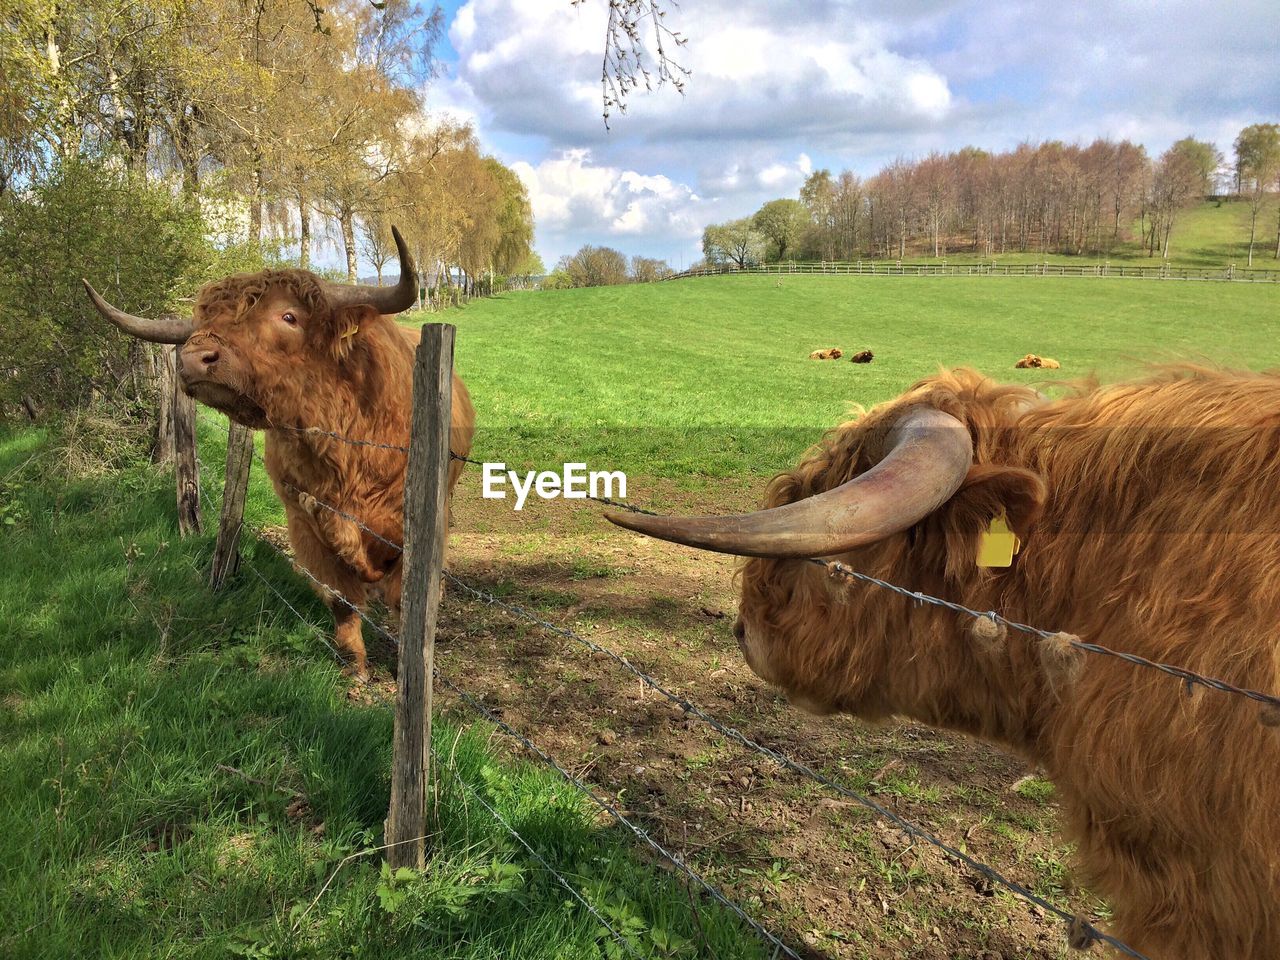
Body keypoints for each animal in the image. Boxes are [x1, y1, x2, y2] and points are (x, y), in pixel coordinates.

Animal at [85, 226, 476, 680]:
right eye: (205, 320)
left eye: (289, 317)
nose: (194, 358)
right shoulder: (304, 523)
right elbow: (339, 598)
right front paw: (354, 666)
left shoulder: (411, 527)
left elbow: (404, 602)